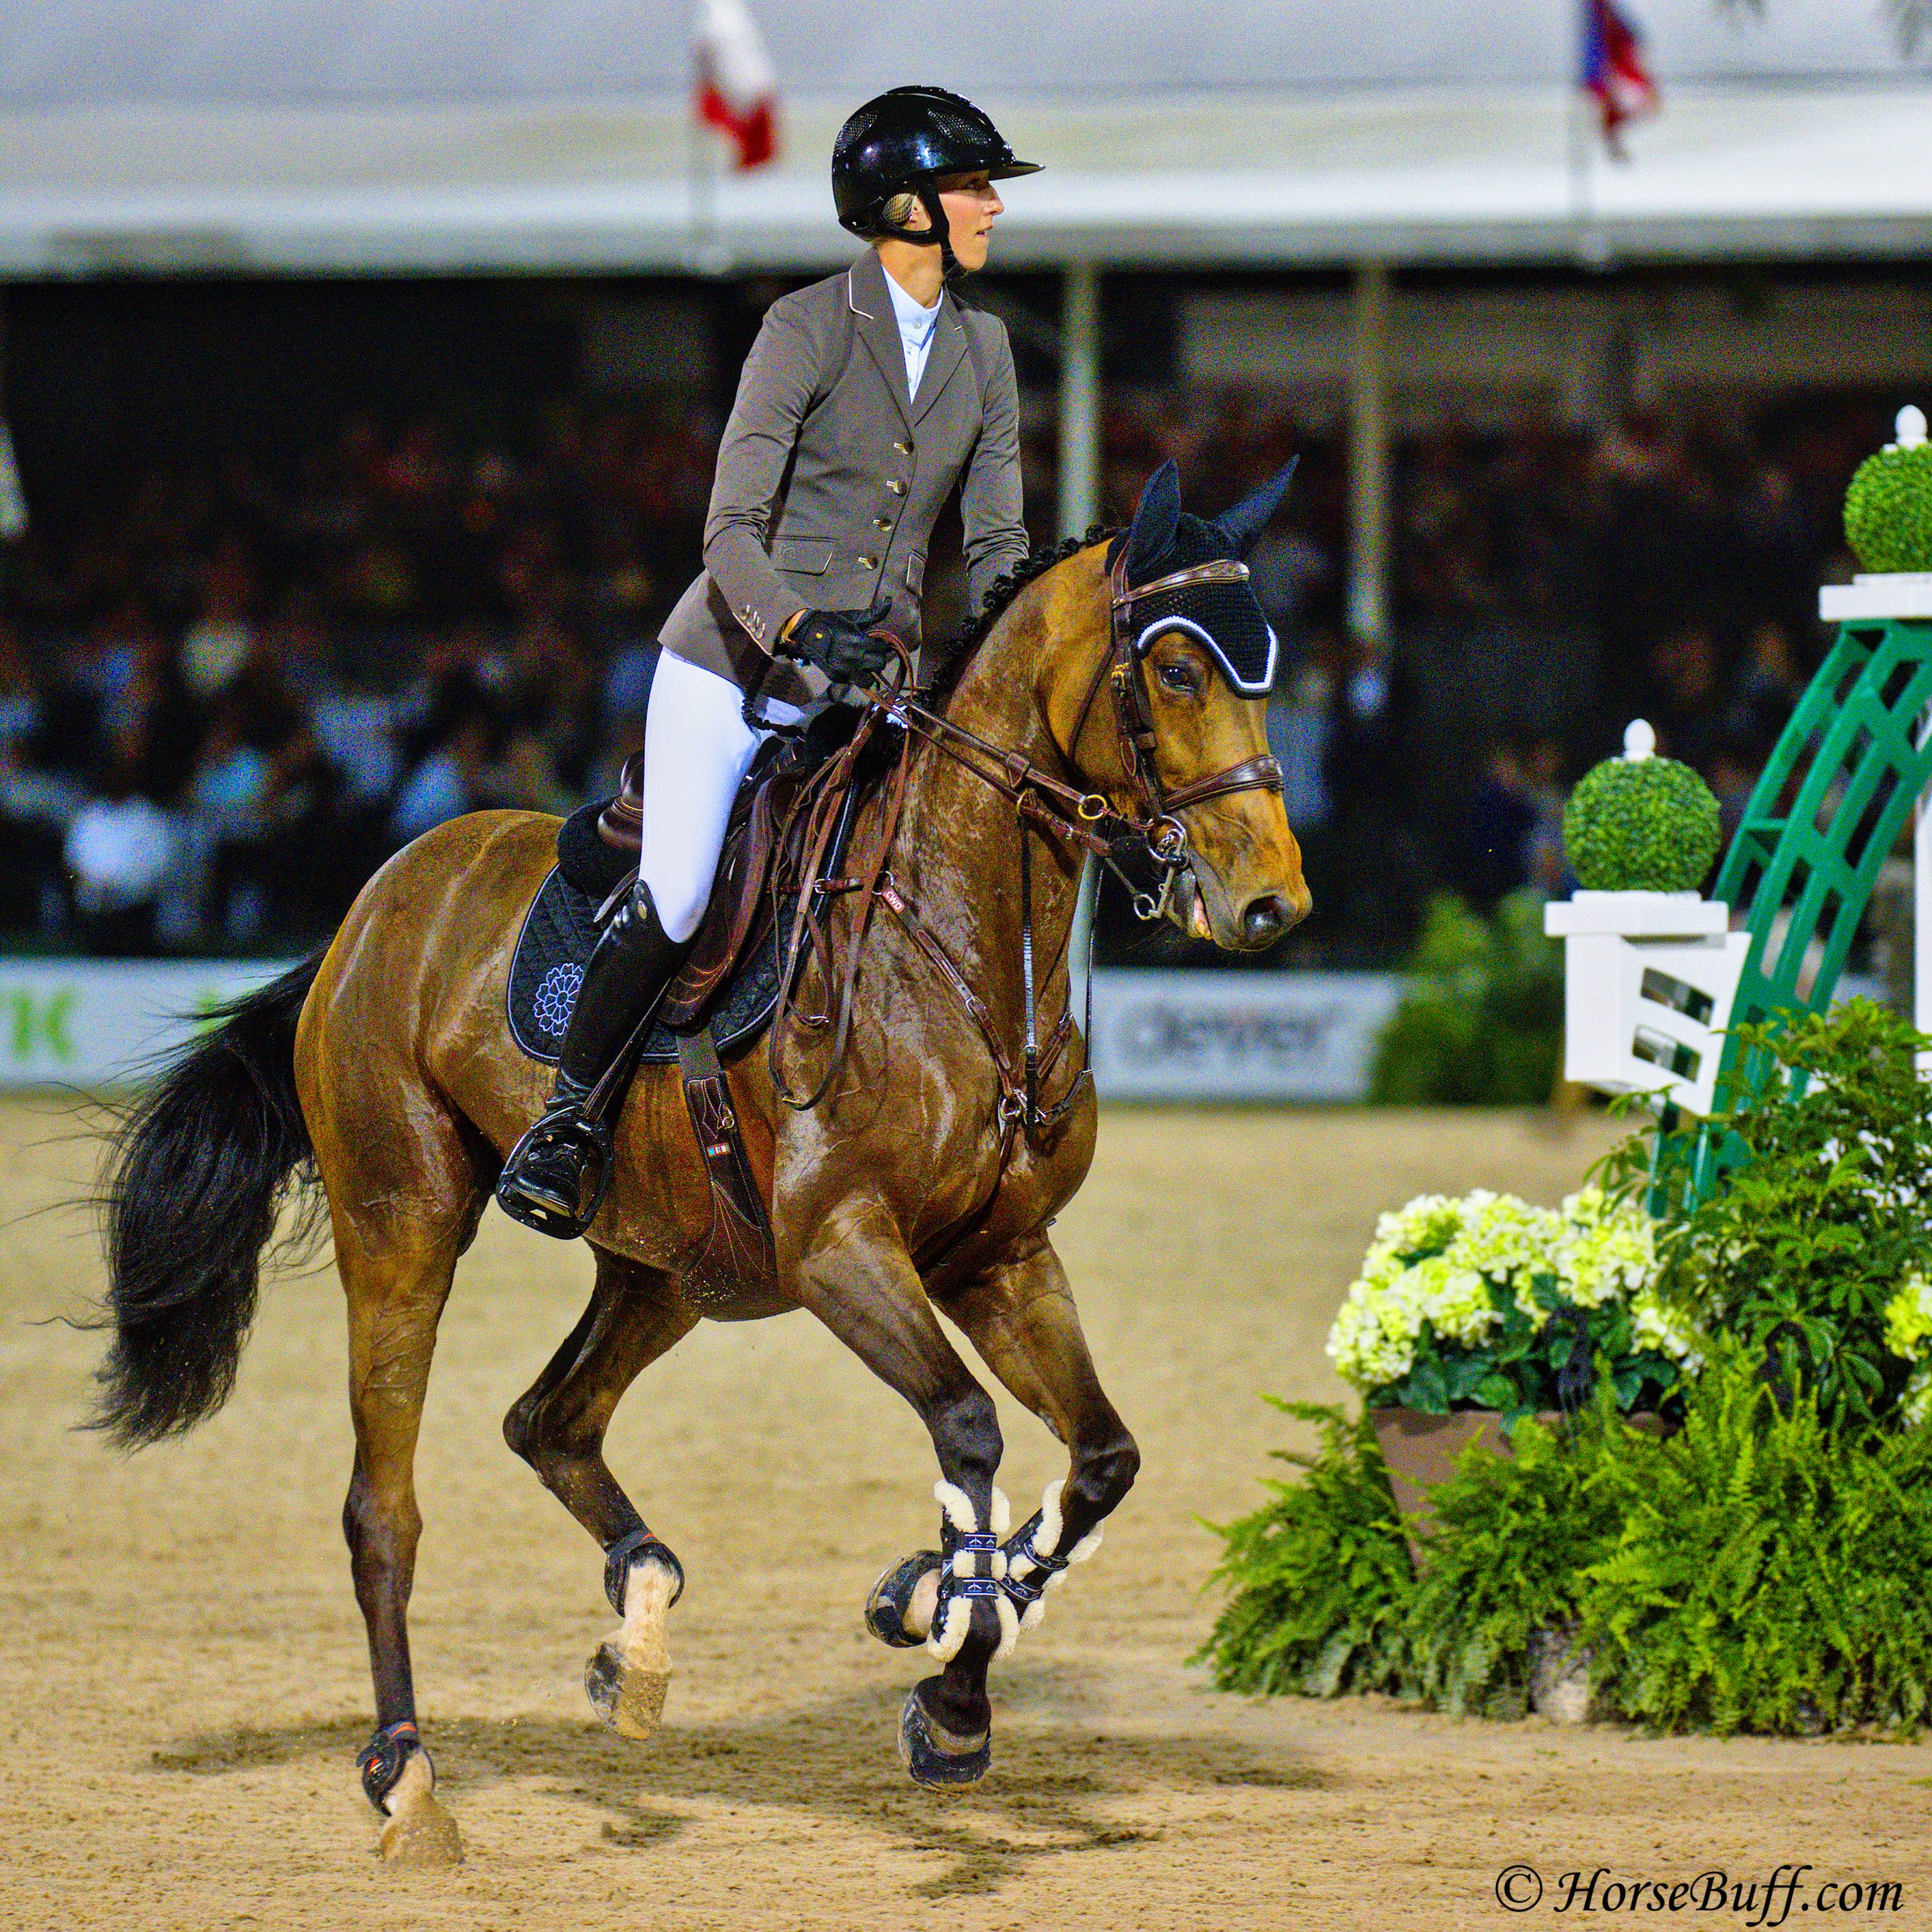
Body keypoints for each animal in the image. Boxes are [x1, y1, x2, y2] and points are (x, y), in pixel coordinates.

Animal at [91, 460, 1313, 1862]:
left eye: (1265, 664)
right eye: (1177, 668)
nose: (1272, 903)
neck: (959, 948)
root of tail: (372, 902)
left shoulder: (1001, 1256)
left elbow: (1102, 1460)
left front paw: (935, 1638)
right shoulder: (842, 1250)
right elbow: (967, 1428)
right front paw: (945, 1645)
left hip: (671, 1270)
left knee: (548, 1421)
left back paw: (639, 1632)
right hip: (402, 1222)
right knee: (381, 1509)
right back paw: (407, 1774)